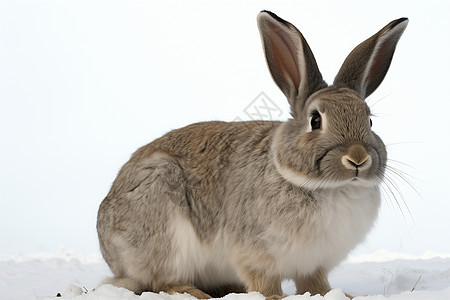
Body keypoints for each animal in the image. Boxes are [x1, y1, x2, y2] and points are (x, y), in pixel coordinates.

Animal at [96, 9, 410, 300]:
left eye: (369, 122)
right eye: (315, 120)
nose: (357, 158)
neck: (329, 188)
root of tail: (112, 256)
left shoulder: (314, 263)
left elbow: (315, 284)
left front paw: (342, 295)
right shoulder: (255, 252)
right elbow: (263, 281)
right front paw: (275, 297)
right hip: (162, 218)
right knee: (161, 281)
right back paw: (193, 292)